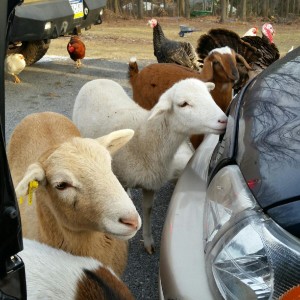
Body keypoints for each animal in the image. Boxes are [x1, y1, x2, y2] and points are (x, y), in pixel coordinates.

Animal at [72, 78, 227, 253]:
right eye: (183, 104)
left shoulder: (151, 183)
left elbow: (148, 209)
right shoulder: (121, 177)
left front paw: (148, 241)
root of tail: (98, 80)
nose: (223, 120)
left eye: (209, 95)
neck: (144, 138)